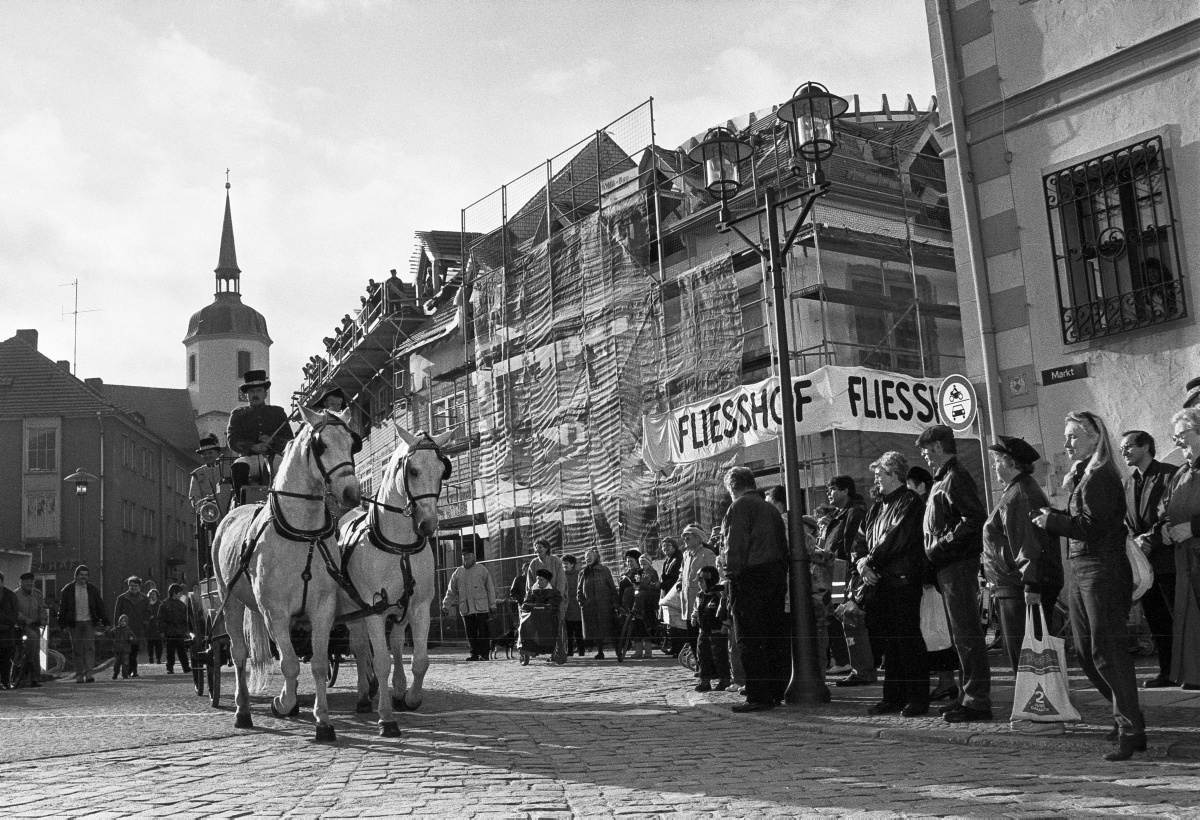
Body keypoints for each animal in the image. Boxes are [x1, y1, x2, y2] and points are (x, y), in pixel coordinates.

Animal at [213, 408, 360, 739]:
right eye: (320, 445)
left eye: (352, 443)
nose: (352, 493)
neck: (302, 532)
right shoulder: (274, 611)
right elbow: (289, 664)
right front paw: (282, 702)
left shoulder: (322, 609)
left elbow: (316, 663)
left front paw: (323, 721)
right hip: (229, 600)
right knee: (239, 653)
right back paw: (242, 711)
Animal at [338, 427, 451, 739]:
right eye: (412, 470)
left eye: (442, 470)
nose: (428, 525)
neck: (400, 547)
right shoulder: (374, 610)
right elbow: (380, 661)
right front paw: (386, 718)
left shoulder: (420, 606)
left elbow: (420, 660)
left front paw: (410, 697)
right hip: (353, 612)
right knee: (360, 647)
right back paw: (364, 696)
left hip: (400, 610)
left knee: (398, 643)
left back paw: (398, 691)